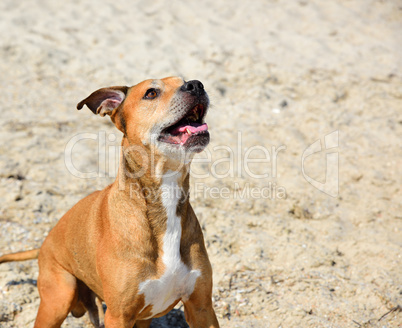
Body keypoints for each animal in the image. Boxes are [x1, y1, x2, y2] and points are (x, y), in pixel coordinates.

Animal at [0, 76, 220, 328]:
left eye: (183, 80)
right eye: (151, 93)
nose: (196, 85)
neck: (165, 196)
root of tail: (44, 244)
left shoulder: (202, 308)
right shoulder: (118, 315)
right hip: (58, 299)